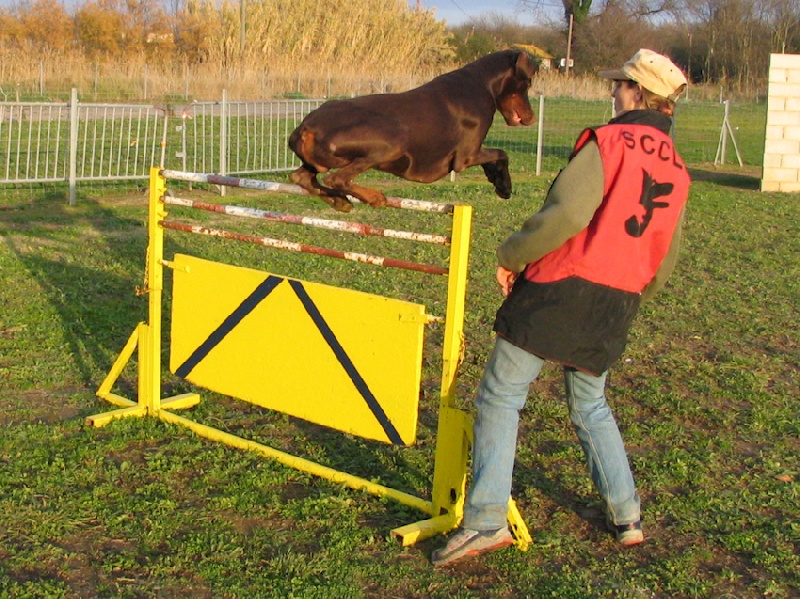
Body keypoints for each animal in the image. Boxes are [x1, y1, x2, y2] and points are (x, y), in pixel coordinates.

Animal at [288, 50, 536, 212]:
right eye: (529, 82)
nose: (532, 117)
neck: (481, 84)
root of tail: (307, 127)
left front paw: (495, 179)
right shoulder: (466, 157)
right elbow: (502, 153)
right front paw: (504, 186)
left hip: (321, 160)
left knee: (302, 177)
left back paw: (339, 201)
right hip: (394, 138)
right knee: (336, 178)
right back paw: (374, 197)